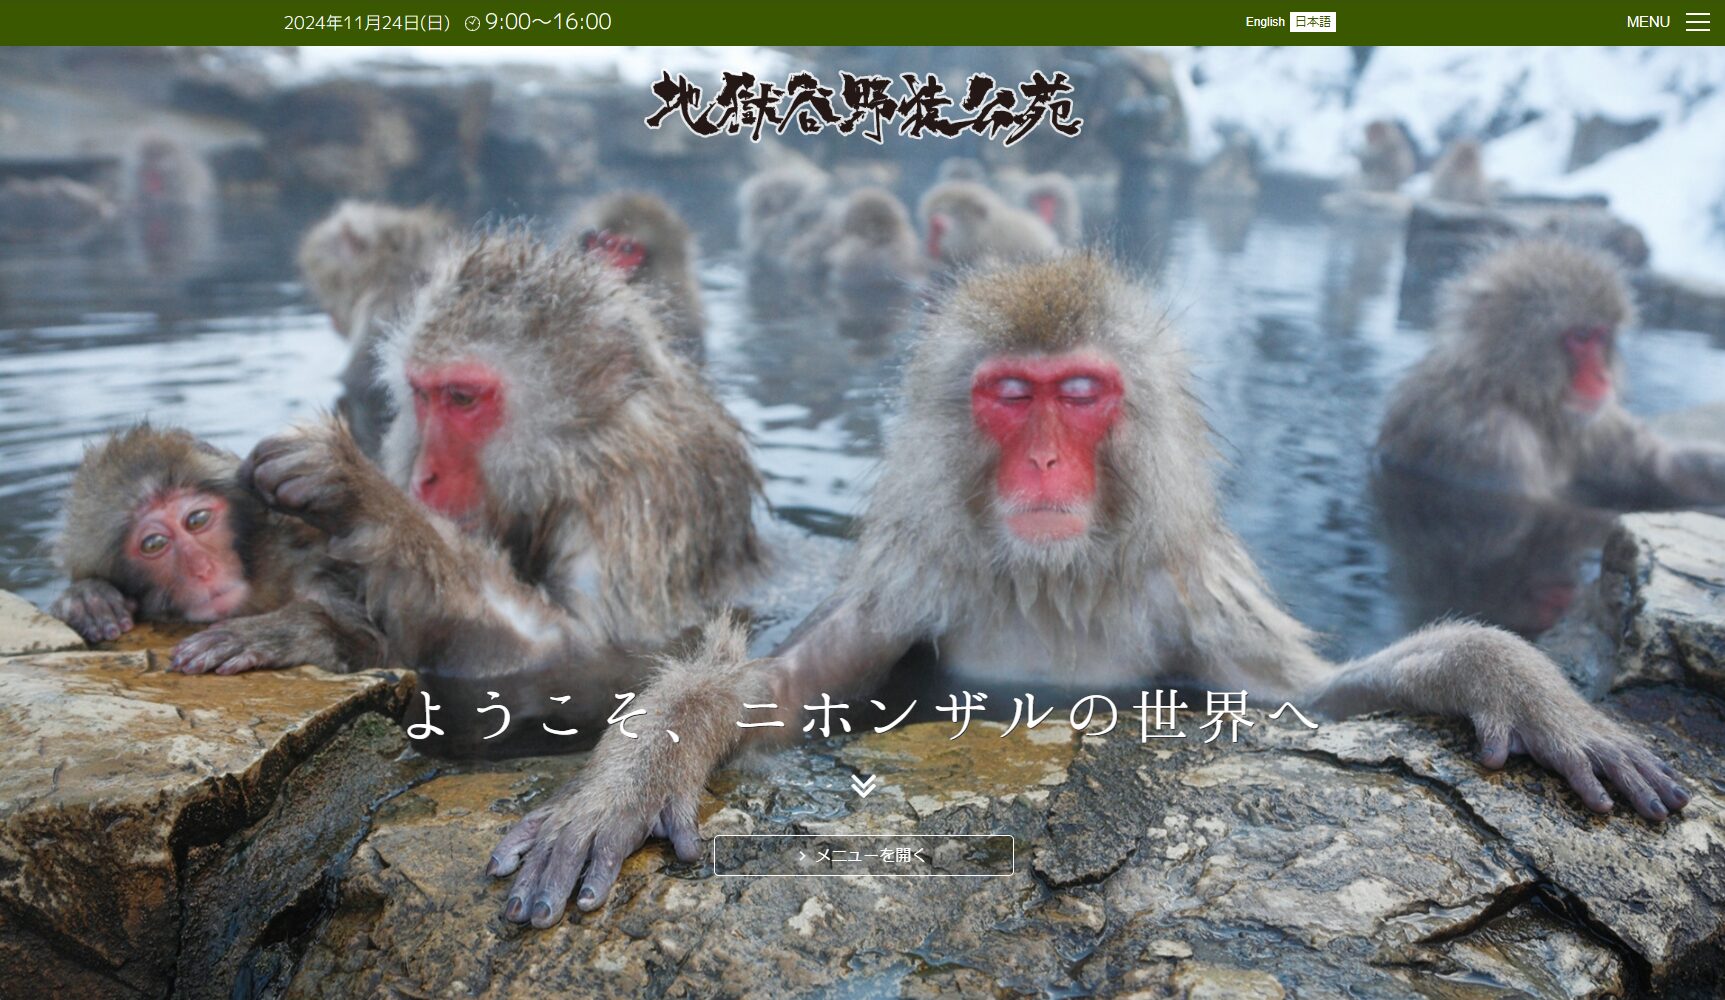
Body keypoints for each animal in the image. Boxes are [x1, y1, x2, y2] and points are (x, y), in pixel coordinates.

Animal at [47, 424, 384, 676]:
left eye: (196, 520)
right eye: (154, 543)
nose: (203, 569)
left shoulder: (318, 576)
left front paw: (281, 633)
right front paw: (87, 598)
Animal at [241, 232, 765, 749]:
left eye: (462, 398)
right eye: (423, 395)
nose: (423, 477)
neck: (576, 454)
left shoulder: (636, 501)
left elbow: (576, 653)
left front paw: (362, 494)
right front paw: (324, 628)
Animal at [486, 255, 1687, 929]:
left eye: (1080, 393)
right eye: (1012, 396)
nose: (1048, 463)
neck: (1055, 579)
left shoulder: (1193, 591)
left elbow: (1308, 699)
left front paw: (1512, 680)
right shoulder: (914, 579)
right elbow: (774, 697)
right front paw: (630, 777)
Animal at [1377, 239, 1725, 512]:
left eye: (1601, 335)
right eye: (1580, 336)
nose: (1603, 377)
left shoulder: (1594, 423)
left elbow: (1661, 469)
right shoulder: (1489, 439)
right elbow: (1524, 507)